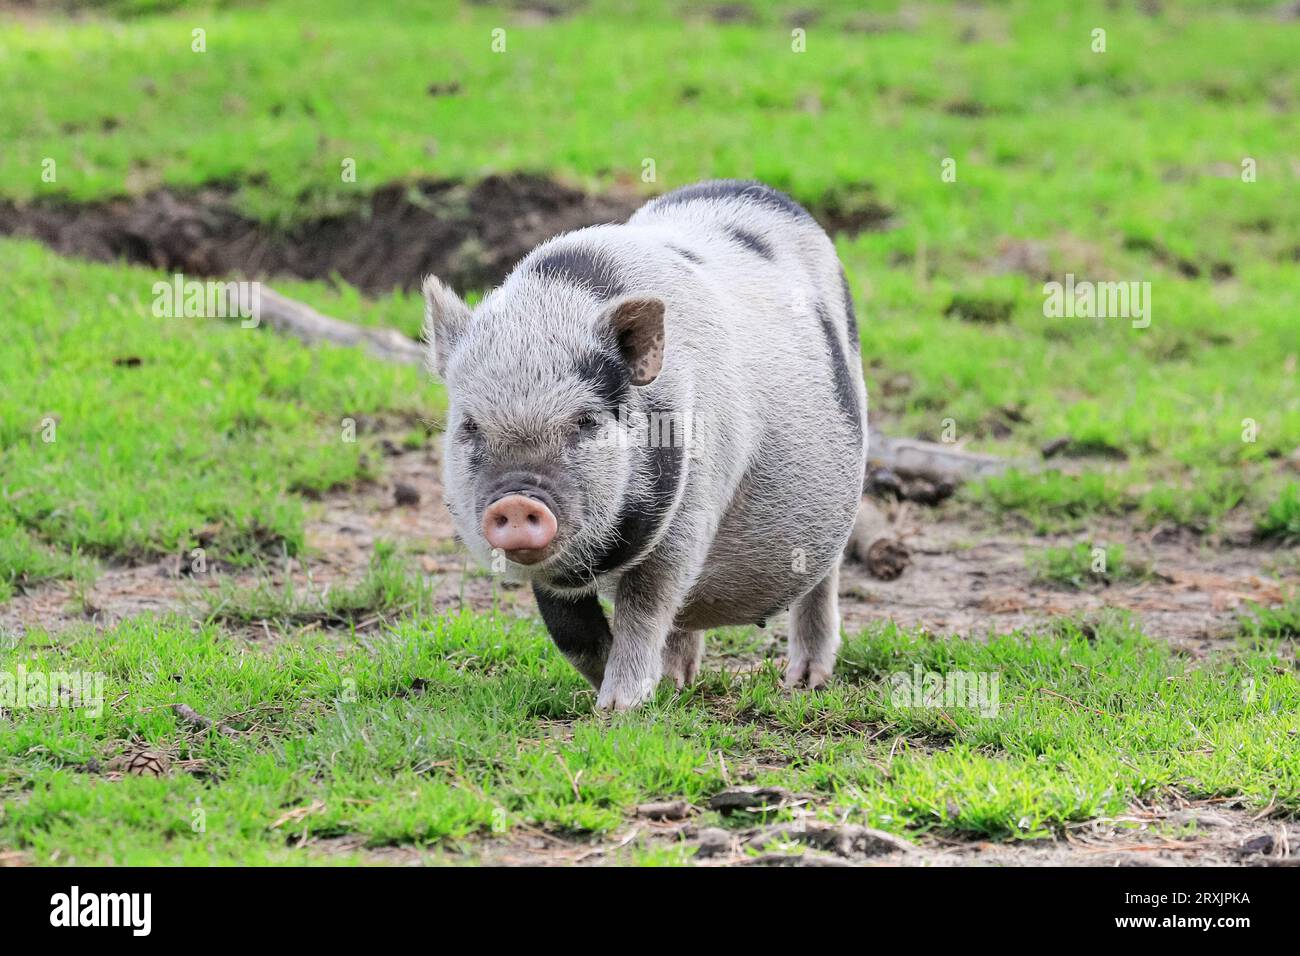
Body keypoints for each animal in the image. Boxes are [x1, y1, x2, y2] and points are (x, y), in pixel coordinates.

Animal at [426, 179, 868, 712]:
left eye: (586, 421)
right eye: (470, 425)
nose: (515, 501)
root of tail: (756, 189)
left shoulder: (690, 510)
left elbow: (646, 604)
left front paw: (620, 707)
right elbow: (571, 631)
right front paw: (616, 692)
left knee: (824, 576)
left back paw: (803, 682)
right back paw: (680, 681)